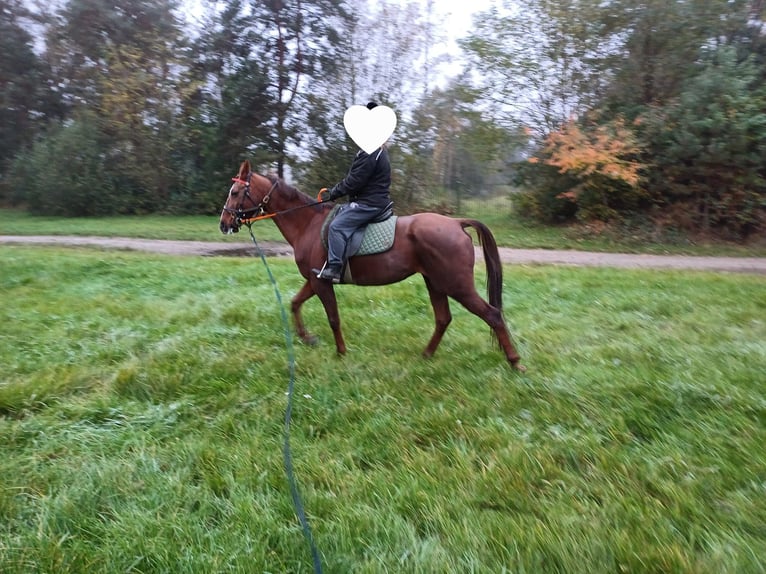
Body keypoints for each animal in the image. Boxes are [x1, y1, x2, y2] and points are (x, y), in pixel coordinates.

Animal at [219, 160, 524, 372]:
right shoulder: (314, 280)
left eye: (234, 192)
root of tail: (456, 223)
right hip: (435, 282)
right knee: (443, 319)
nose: (224, 224)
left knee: (492, 315)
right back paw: (426, 355)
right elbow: (295, 303)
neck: (308, 223)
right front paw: (308, 339)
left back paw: (515, 361)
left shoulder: (322, 281)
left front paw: (341, 352)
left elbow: (333, 318)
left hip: (457, 285)